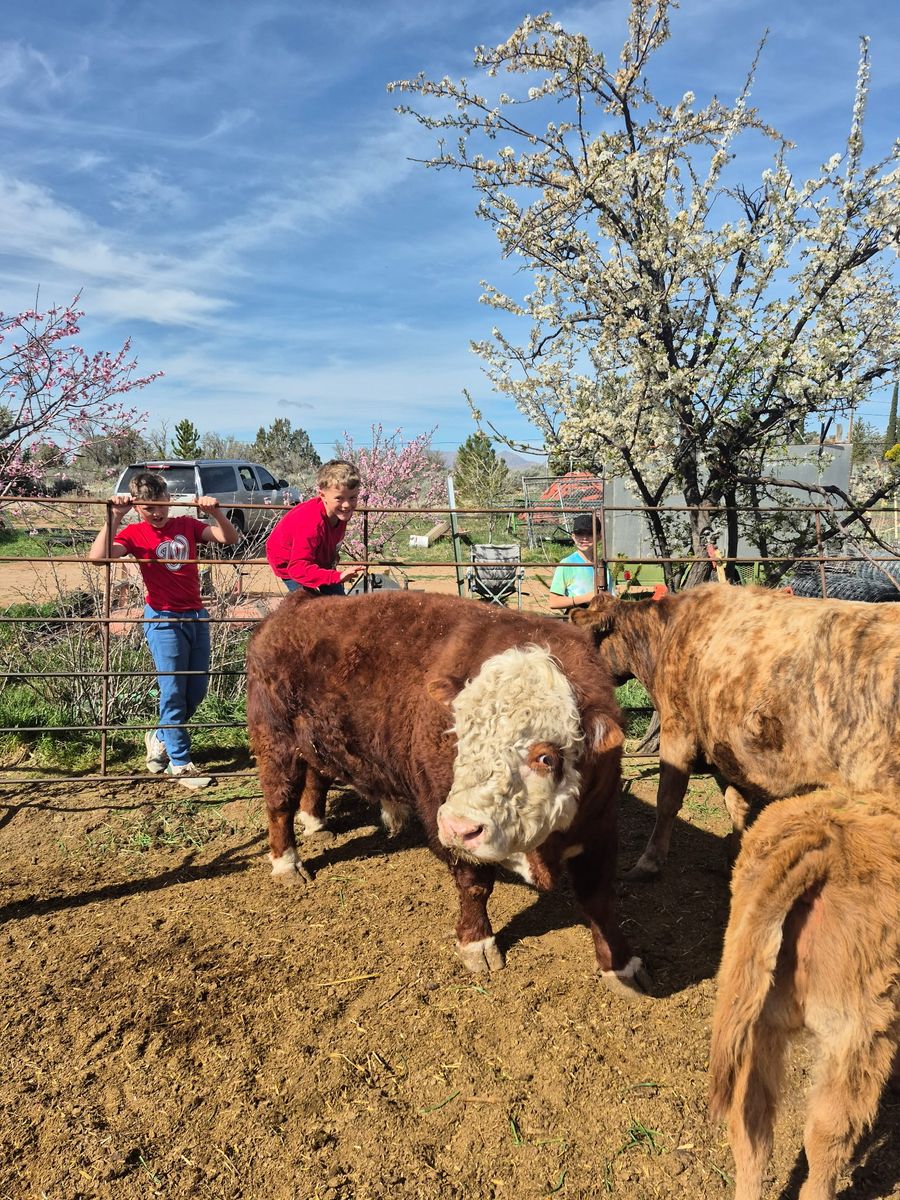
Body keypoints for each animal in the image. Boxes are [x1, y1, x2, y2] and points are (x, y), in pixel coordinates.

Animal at [246, 589, 645, 992]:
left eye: (545, 756)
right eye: (459, 736)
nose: (457, 825)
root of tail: (293, 607)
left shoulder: (600, 827)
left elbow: (599, 899)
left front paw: (622, 965)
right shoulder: (447, 818)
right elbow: (474, 886)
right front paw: (478, 945)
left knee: (317, 776)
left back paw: (316, 823)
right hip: (275, 739)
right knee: (279, 802)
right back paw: (288, 863)